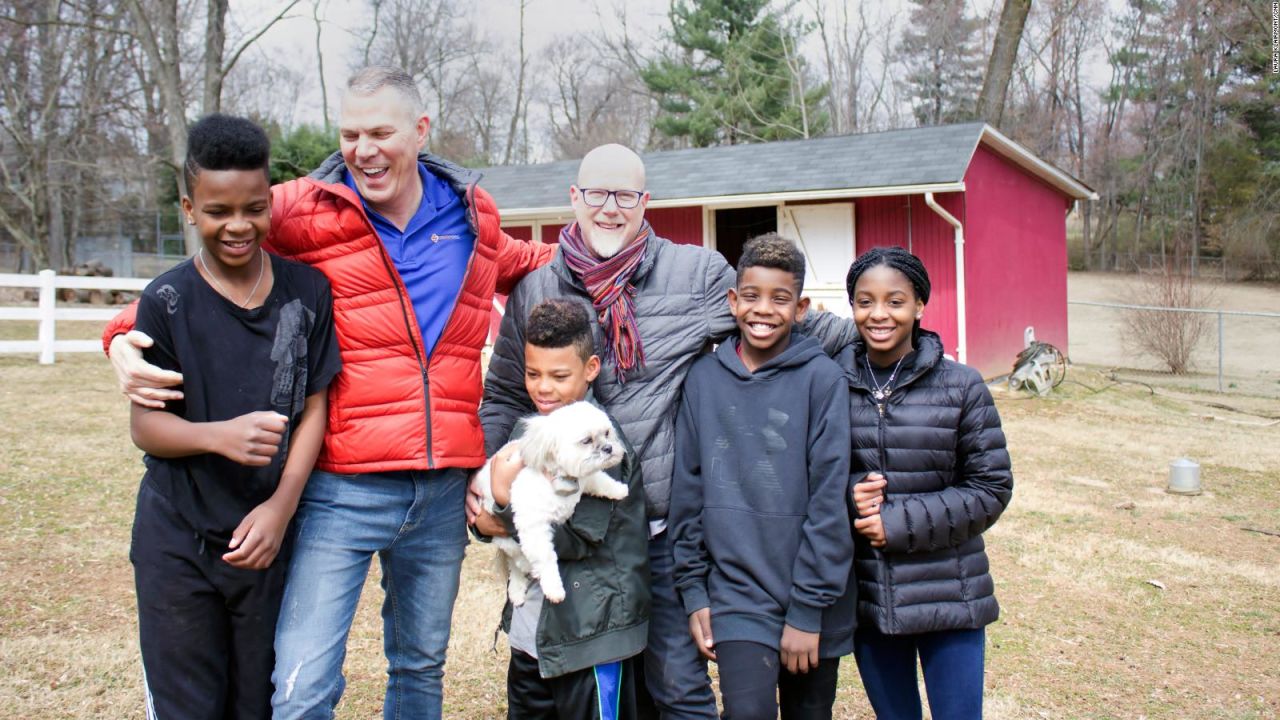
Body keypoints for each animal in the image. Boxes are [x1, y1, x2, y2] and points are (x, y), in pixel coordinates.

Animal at [478, 399, 627, 602]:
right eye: (586, 441)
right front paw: (553, 588)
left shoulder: (586, 478)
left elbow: (601, 481)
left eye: (607, 433)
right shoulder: (533, 525)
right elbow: (546, 558)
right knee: (517, 563)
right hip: (507, 541)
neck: (563, 480)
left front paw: (619, 489)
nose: (608, 448)